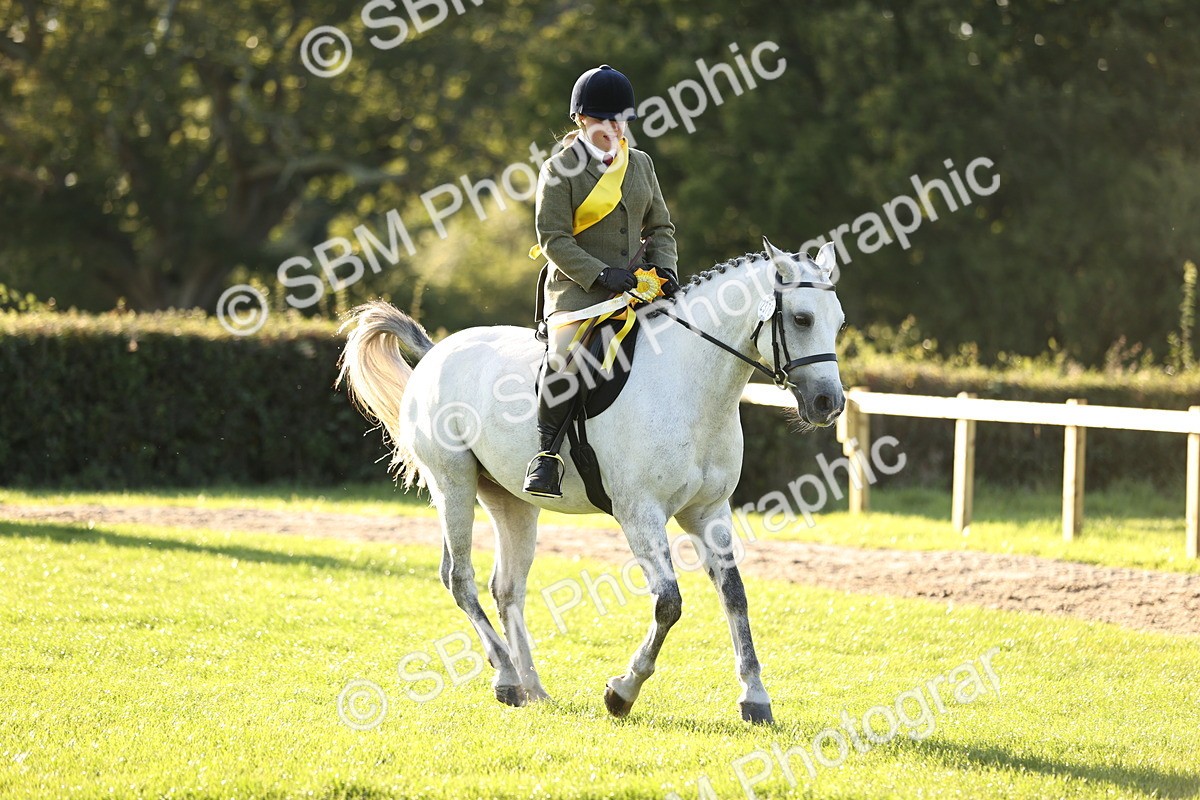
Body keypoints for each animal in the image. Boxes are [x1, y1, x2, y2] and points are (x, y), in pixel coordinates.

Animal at [336, 237, 845, 724]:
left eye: (837, 323)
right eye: (801, 319)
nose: (829, 404)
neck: (688, 385)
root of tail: (435, 352)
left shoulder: (708, 512)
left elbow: (734, 595)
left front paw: (755, 696)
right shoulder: (640, 513)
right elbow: (668, 602)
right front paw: (623, 691)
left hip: (512, 501)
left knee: (508, 587)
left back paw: (532, 687)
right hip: (452, 483)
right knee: (459, 578)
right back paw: (507, 678)